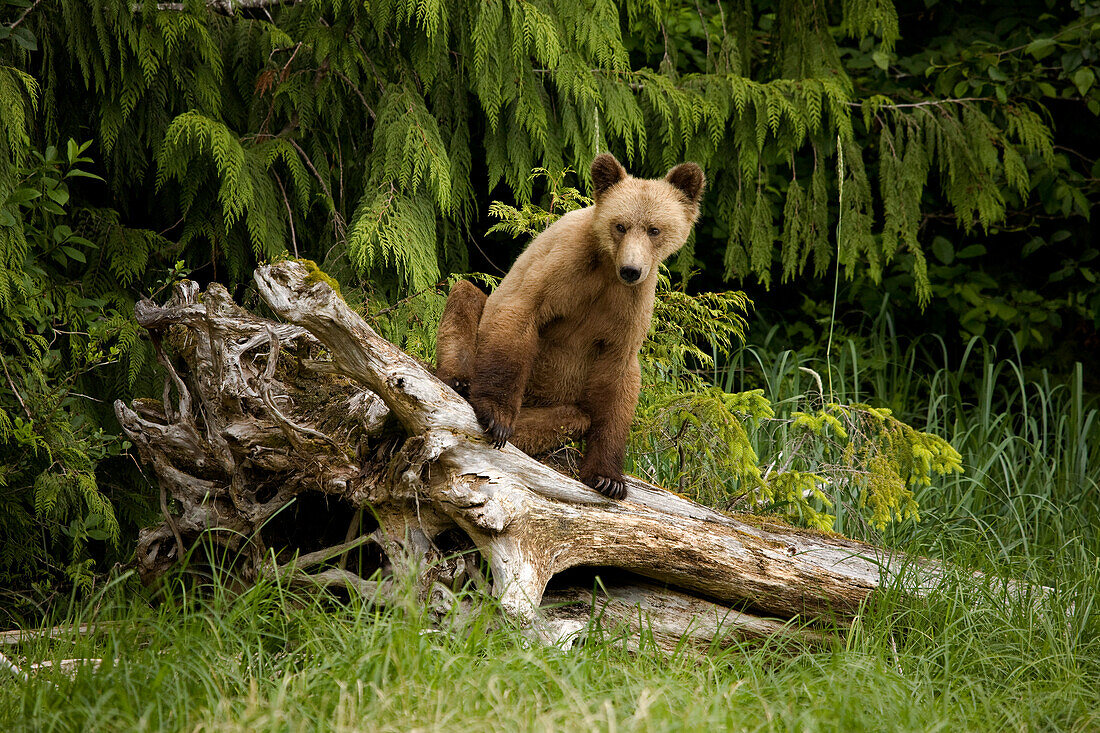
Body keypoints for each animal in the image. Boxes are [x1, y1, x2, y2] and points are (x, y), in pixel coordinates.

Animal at [435, 151, 704, 499]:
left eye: (654, 229)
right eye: (620, 225)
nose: (631, 270)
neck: (606, 268)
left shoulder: (627, 310)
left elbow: (617, 379)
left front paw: (608, 478)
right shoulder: (563, 268)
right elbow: (519, 314)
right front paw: (497, 417)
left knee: (575, 418)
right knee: (465, 295)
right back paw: (460, 381)